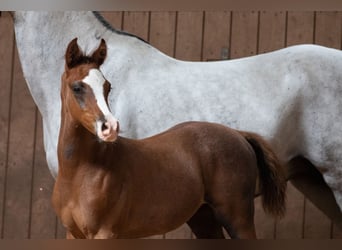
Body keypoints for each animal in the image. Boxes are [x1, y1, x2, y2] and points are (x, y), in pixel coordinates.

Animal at [52, 38, 288, 239]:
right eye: (77, 87)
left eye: (107, 86)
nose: (110, 127)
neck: (81, 172)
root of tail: (239, 135)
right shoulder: (74, 234)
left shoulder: (104, 233)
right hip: (203, 218)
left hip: (238, 217)